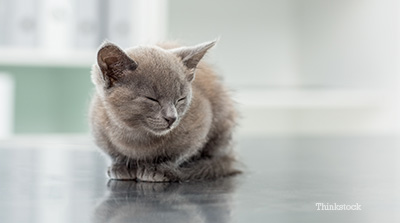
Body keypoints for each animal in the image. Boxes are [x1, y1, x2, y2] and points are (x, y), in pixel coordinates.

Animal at [90, 40, 241, 182]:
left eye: (180, 99)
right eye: (152, 99)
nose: (172, 118)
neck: (136, 135)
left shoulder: (201, 123)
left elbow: (179, 154)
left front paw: (158, 169)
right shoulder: (99, 128)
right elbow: (114, 153)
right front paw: (121, 166)